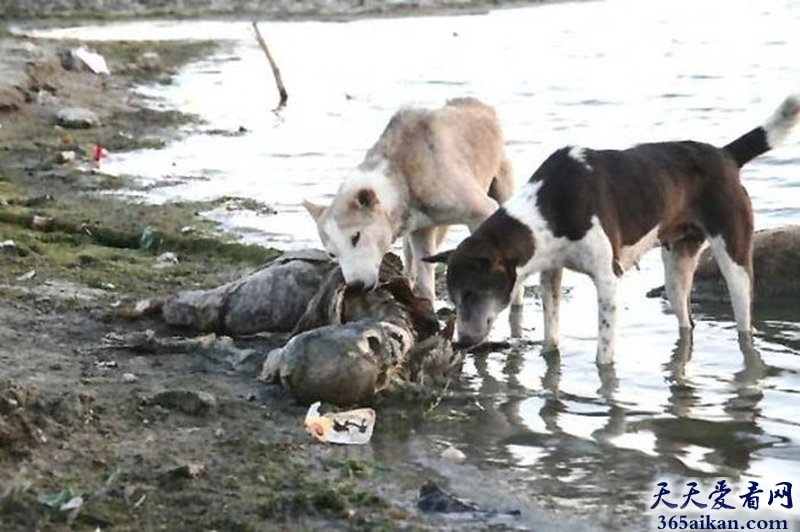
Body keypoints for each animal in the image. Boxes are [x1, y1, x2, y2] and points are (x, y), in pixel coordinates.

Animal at [304, 97, 516, 302]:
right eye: (332, 254)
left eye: (356, 237)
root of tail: (479, 105)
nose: (355, 286)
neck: (402, 176)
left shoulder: (482, 211)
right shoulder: (421, 232)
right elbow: (426, 283)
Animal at [428, 95, 796, 364]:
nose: (462, 341)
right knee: (686, 321)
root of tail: (724, 155)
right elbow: (551, 335)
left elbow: (603, 352)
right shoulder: (551, 272)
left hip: (735, 261)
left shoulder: (607, 278)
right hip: (677, 269)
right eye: (454, 297)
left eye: (472, 292)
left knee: (744, 324)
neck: (549, 207)